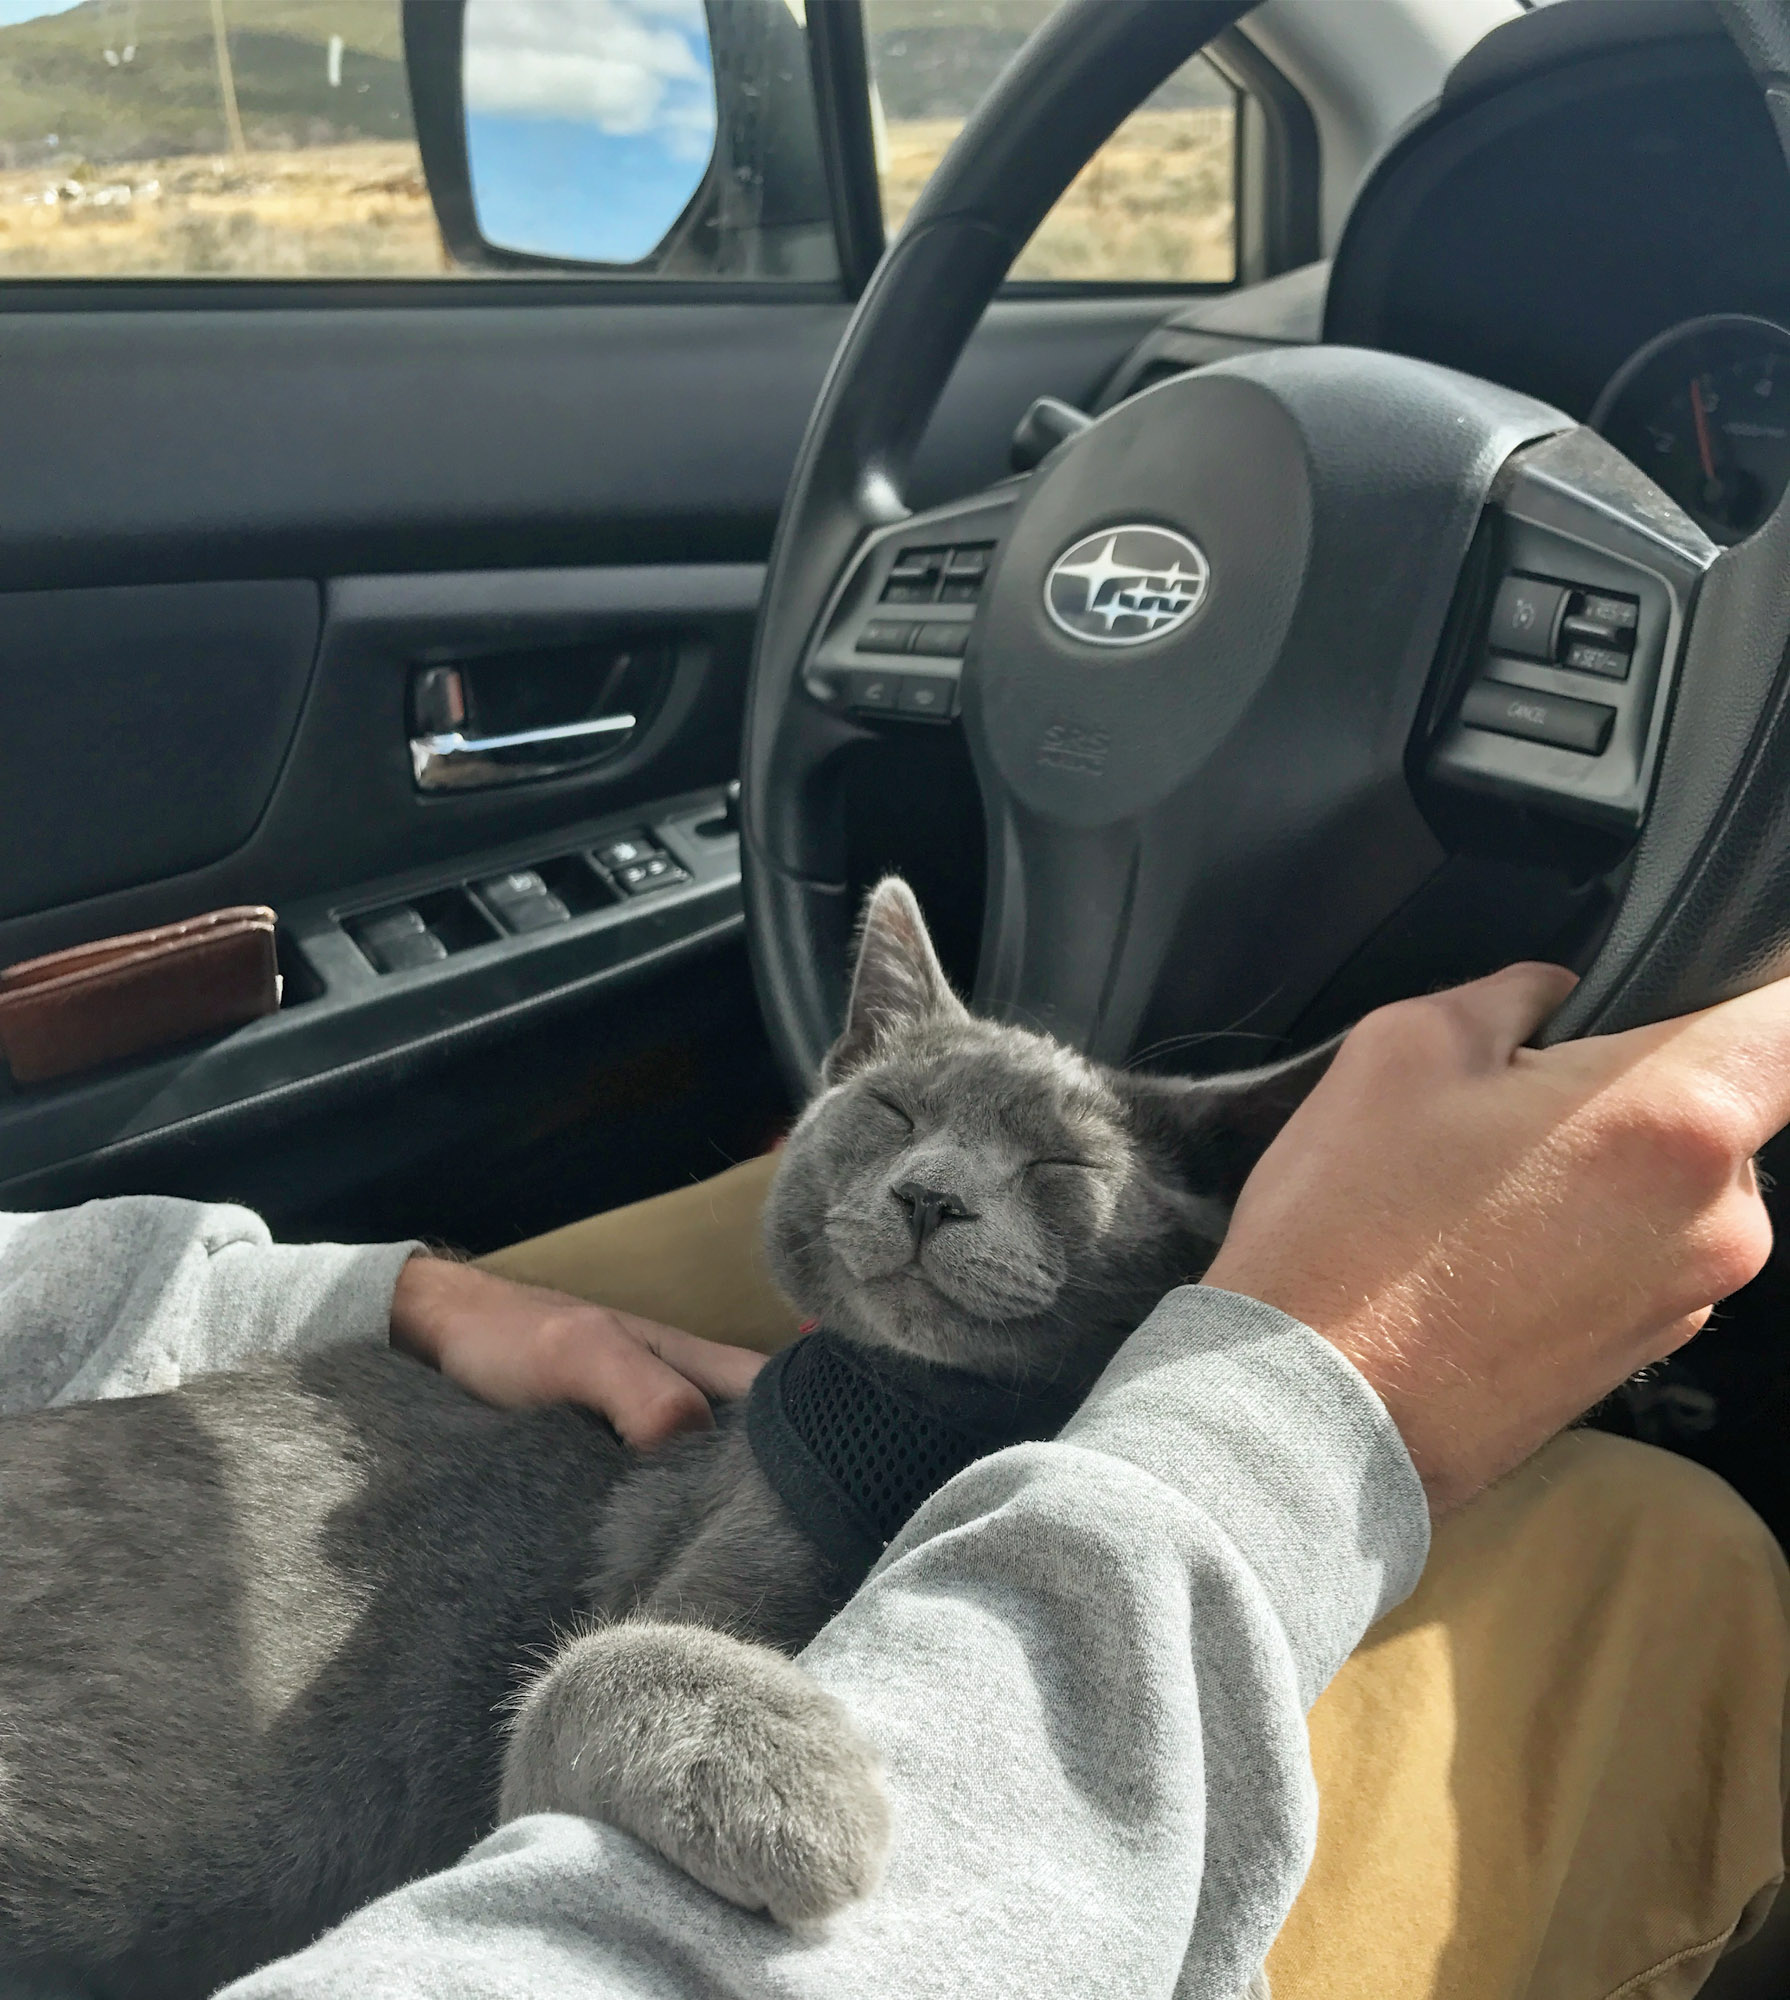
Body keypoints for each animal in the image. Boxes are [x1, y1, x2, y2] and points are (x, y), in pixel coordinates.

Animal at [0, 884, 1336, 1992]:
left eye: (1059, 1161)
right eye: (892, 1109)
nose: (929, 1193)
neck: (923, 1414)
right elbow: (593, 1658)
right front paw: (781, 1776)